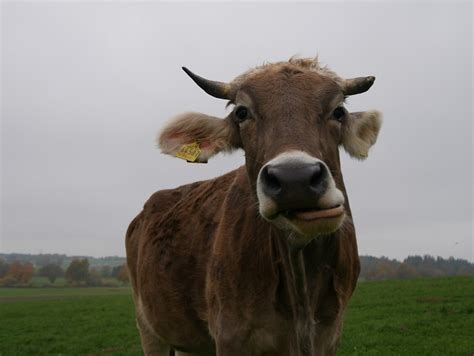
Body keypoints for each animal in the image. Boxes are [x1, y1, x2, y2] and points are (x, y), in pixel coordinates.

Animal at [125, 57, 382, 354]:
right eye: (241, 113)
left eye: (339, 111)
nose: (295, 178)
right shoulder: (229, 335)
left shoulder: (329, 335)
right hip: (148, 328)